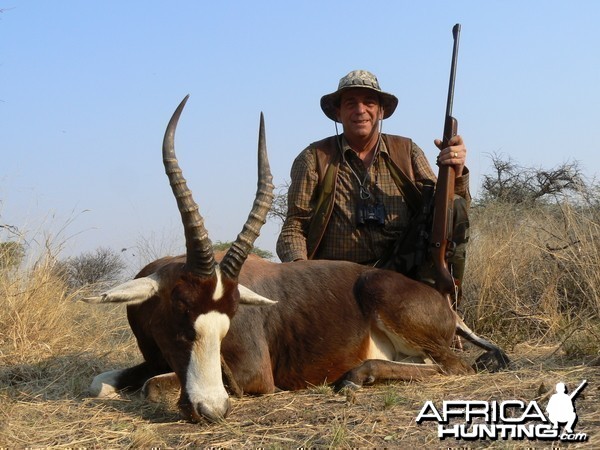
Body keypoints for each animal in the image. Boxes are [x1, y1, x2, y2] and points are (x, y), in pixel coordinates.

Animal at [84, 95, 506, 422]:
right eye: (182, 316)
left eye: (228, 323)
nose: (212, 410)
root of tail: (446, 306)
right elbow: (99, 384)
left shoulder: (252, 375)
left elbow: (151, 388)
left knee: (453, 367)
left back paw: (355, 376)